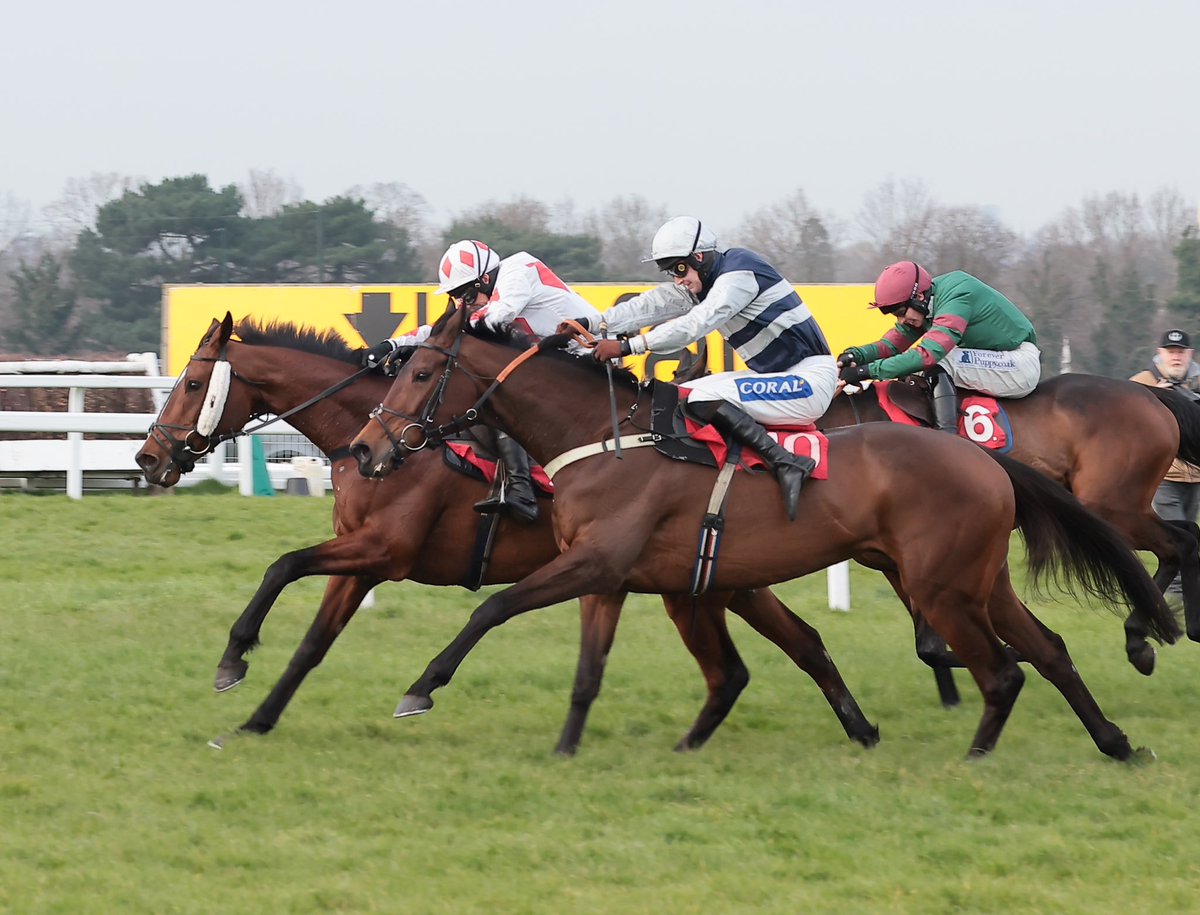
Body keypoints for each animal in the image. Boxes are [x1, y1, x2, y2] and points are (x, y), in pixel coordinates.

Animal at [136, 314, 878, 749]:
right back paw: (858, 727)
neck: (368, 441)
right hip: (714, 580)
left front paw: (234, 658)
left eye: (192, 383)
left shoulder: (384, 550)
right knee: (796, 645)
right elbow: (312, 643)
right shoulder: (363, 563)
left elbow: (282, 564)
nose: (148, 458)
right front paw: (258, 716)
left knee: (784, 648)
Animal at [350, 305, 1180, 754]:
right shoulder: (617, 576)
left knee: (1015, 661)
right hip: (977, 578)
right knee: (1049, 649)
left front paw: (420, 689)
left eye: (419, 374)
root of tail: (980, 457)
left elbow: (491, 607)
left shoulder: (596, 562)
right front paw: (567, 745)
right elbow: (589, 671)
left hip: (951, 579)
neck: (606, 435)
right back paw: (1114, 741)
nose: (365, 449)